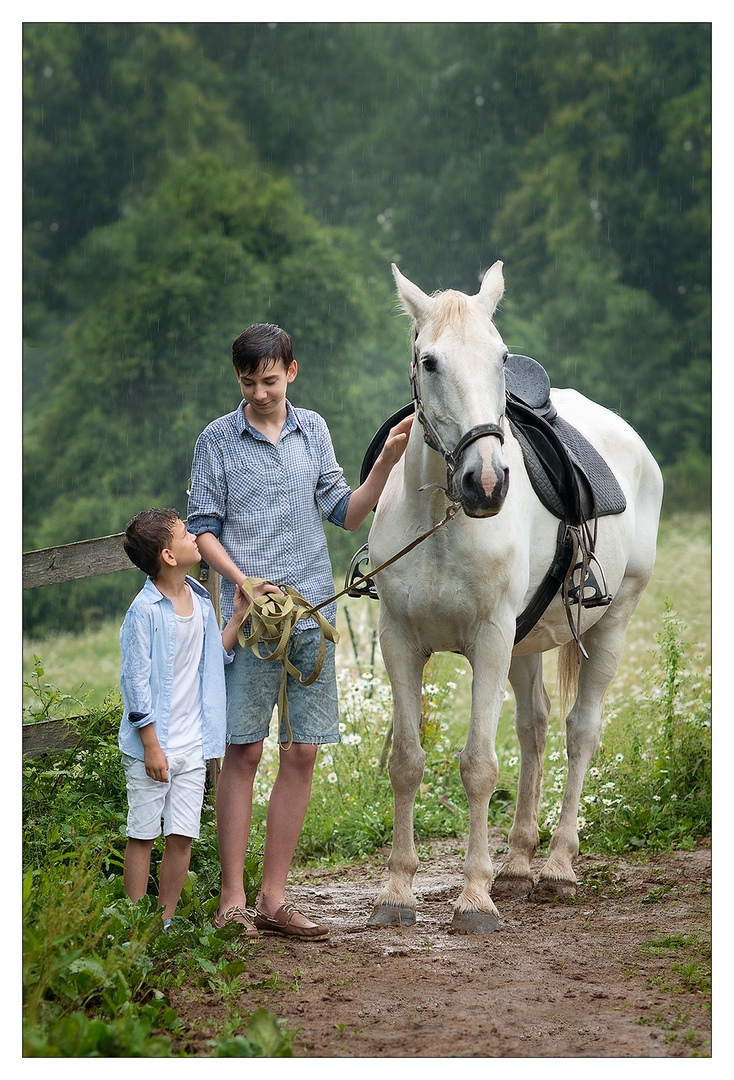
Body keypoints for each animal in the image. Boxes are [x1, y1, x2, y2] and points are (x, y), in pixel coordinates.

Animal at [369, 263, 660, 937]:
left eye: (501, 358)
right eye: (429, 361)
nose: (486, 482)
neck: (441, 521)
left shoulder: (490, 640)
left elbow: (478, 765)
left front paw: (474, 899)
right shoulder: (400, 640)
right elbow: (407, 761)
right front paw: (398, 890)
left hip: (609, 624)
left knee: (581, 733)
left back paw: (556, 866)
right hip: (527, 642)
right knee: (535, 729)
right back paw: (520, 863)